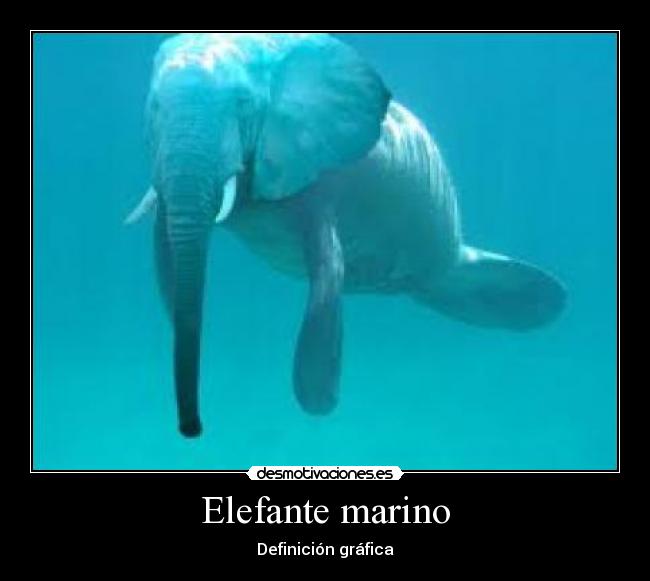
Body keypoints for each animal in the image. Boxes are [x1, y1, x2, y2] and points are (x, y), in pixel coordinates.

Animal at [125, 33, 566, 438]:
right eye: (155, 106)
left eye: (243, 104)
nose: (192, 428)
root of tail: (452, 260)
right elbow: (166, 255)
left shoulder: (321, 194)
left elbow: (327, 279)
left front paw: (318, 399)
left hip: (446, 260)